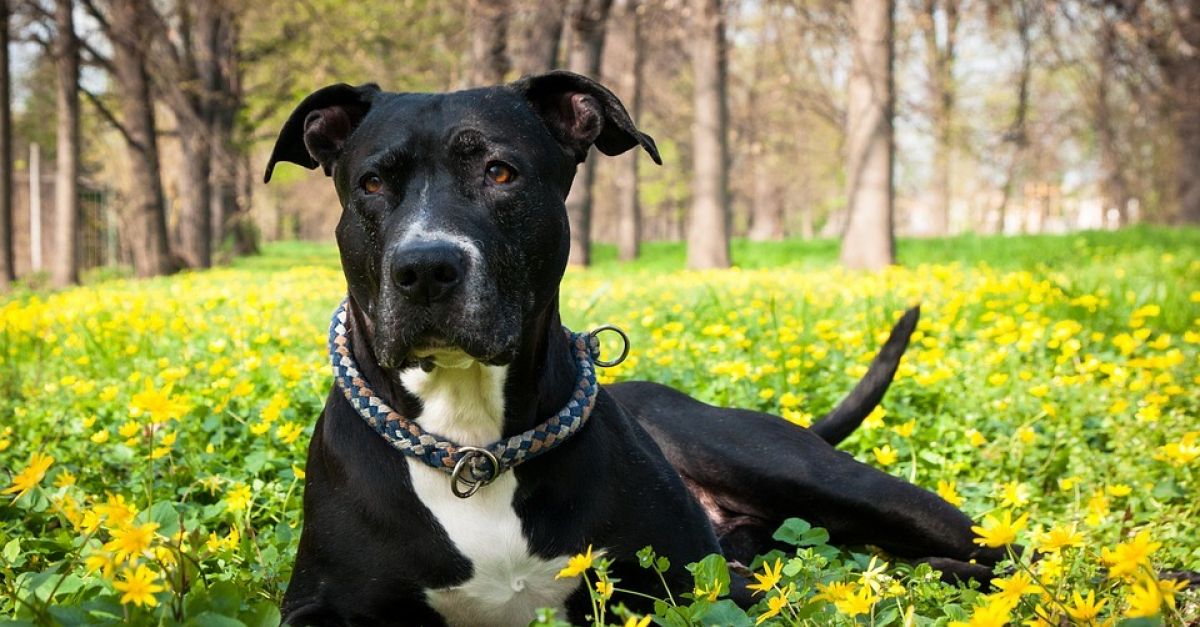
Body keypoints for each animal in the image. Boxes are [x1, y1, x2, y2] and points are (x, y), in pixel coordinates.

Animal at [267, 72, 1008, 624]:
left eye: (501, 172)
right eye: (371, 183)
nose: (424, 267)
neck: (473, 448)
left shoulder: (701, 583)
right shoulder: (319, 605)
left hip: (814, 476)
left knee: (998, 550)